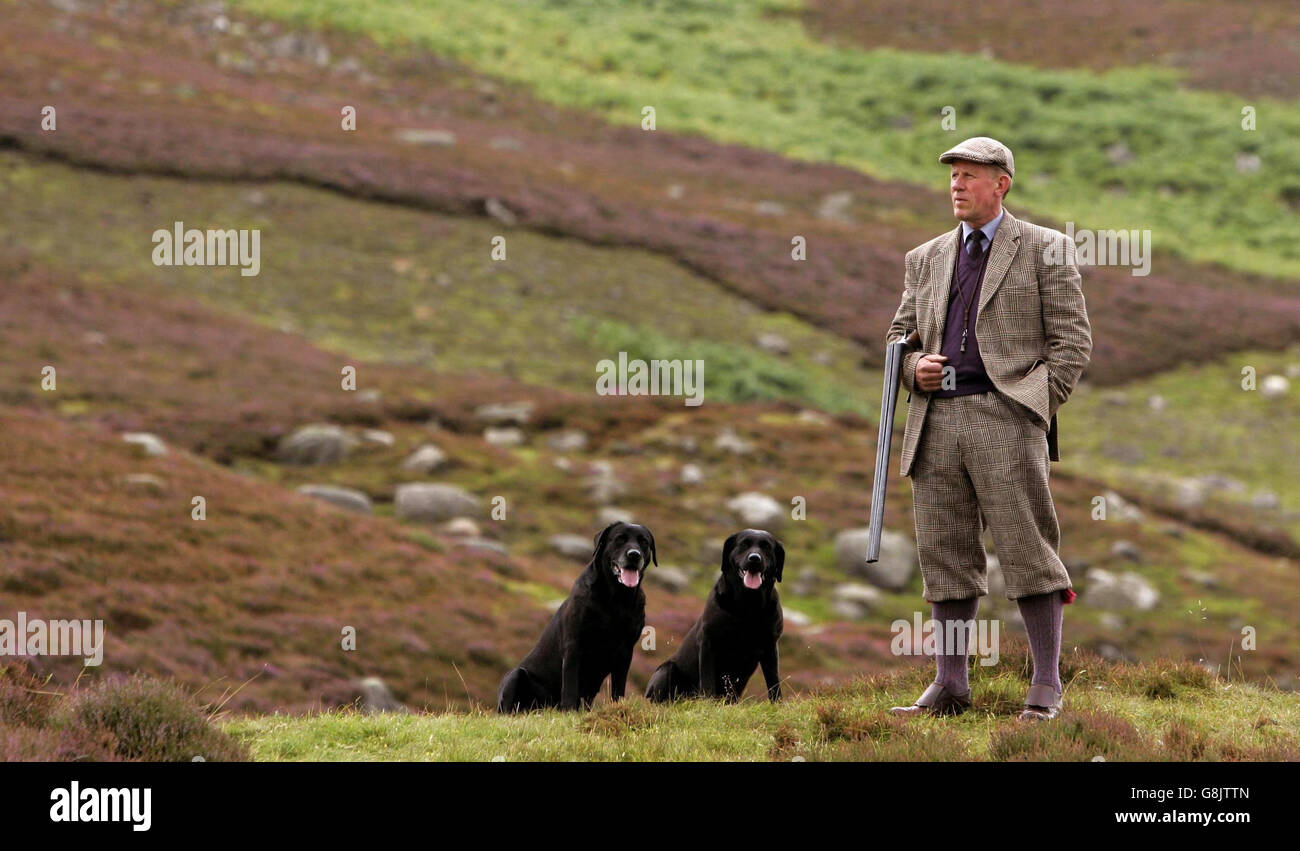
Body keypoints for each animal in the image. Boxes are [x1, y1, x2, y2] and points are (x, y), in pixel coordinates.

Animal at [499, 522, 660, 717]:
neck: (616, 597)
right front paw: (569, 711)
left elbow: (618, 688)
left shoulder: (626, 651)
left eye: (643, 542)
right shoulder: (574, 645)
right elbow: (570, 685)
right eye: (620, 539)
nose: (634, 554)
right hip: (515, 675)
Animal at [642, 530, 780, 701]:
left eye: (766, 547)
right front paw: (708, 702)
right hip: (665, 670)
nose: (754, 558)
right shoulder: (708, 643)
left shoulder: (770, 647)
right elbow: (708, 681)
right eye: (743, 544)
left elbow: (774, 683)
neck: (747, 604)